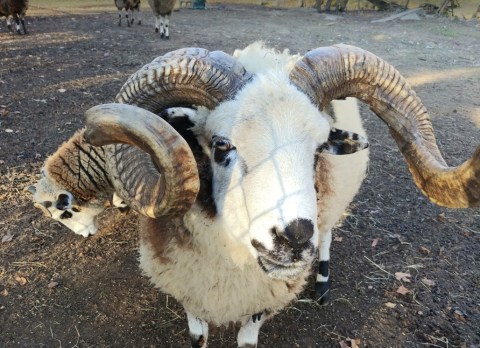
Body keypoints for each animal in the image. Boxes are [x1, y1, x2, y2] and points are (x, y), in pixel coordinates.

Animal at [31, 42, 480, 346]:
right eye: (220, 146)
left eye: (320, 146)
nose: (294, 238)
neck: (230, 265)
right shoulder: (188, 290)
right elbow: (197, 337)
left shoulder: (261, 298)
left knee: (329, 234)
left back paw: (322, 283)